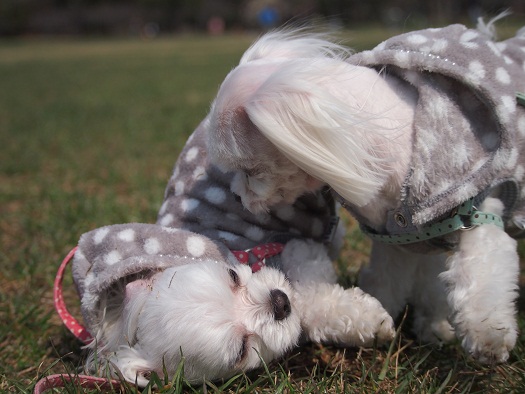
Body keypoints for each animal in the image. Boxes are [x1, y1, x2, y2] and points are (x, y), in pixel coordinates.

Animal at [206, 19, 524, 364]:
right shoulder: (402, 241)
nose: (238, 197)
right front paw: (399, 323)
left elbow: (481, 275)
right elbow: (395, 281)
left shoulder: (477, 215)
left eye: (251, 172)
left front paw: (487, 335)